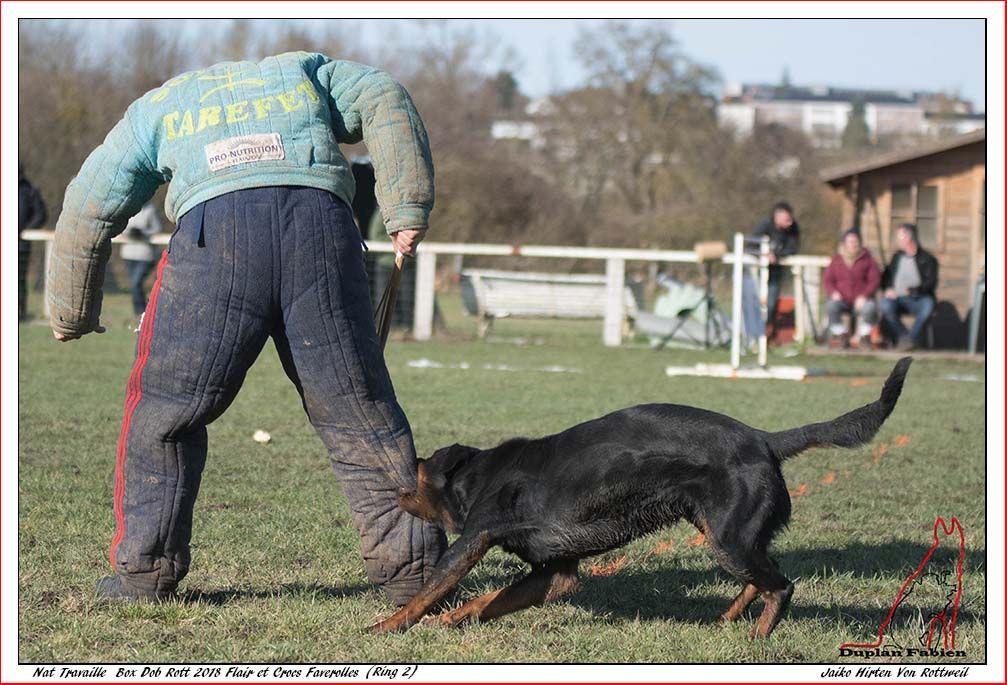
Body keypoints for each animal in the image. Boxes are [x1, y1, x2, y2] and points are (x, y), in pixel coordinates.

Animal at [376, 358, 914, 636]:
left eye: (418, 467)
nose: (397, 483)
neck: (479, 475)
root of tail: (766, 440)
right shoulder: (554, 573)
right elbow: (490, 600)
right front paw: (456, 618)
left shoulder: (473, 540)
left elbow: (427, 592)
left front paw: (386, 626)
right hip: (726, 533)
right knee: (762, 578)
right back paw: (727, 620)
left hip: (730, 539)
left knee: (781, 586)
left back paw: (759, 636)